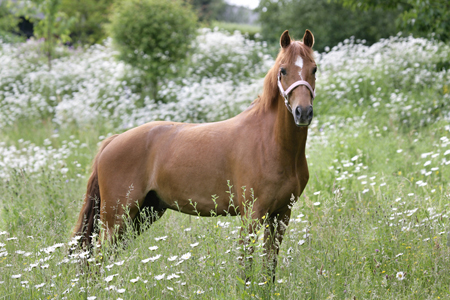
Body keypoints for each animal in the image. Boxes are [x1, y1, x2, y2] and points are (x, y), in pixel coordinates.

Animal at [73, 29, 316, 280]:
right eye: (283, 70)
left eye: (314, 69)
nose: (303, 112)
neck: (270, 143)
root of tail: (111, 142)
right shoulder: (252, 214)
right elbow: (245, 267)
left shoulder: (281, 215)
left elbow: (269, 270)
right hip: (117, 219)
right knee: (98, 261)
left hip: (143, 215)